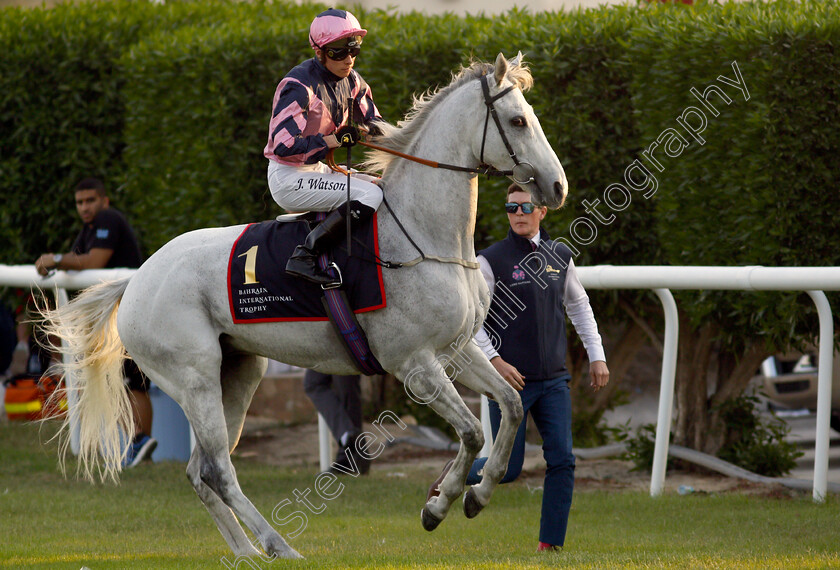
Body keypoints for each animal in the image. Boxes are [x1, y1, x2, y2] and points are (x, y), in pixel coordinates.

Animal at [42, 54, 568, 560]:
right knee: (219, 470)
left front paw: (477, 495)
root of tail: (136, 281)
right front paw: (439, 506)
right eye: (518, 120)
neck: (422, 236)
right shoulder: (414, 365)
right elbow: (474, 432)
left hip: (239, 371)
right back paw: (278, 545)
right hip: (194, 379)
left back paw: (246, 553)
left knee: (201, 471)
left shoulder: (456, 350)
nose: (558, 186)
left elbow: (512, 404)